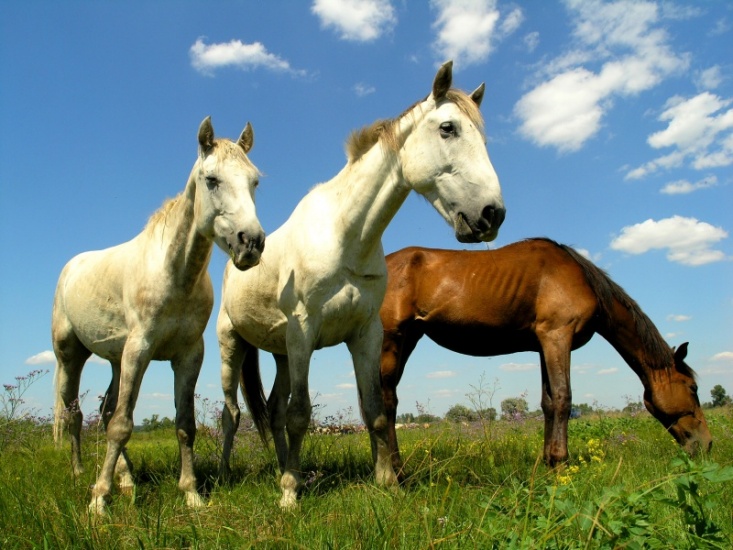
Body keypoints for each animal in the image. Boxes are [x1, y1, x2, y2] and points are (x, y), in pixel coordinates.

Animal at [53, 117, 266, 516]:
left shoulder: (188, 356)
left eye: (255, 181)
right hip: (70, 355)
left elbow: (184, 425)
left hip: (116, 360)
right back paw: (80, 475)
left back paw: (126, 480)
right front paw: (98, 501)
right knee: (74, 414)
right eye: (211, 179)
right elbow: (122, 425)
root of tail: (71, 267)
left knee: (105, 410)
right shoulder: (140, 349)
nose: (252, 243)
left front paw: (191, 493)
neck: (174, 274)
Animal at [214, 61, 506, 508]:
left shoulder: (365, 334)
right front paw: (290, 497)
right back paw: (227, 476)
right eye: (448, 128)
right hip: (234, 345)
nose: (492, 214)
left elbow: (375, 410)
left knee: (274, 410)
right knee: (231, 415)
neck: (344, 236)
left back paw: (283, 469)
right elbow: (301, 414)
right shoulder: (305, 332)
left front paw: (386, 482)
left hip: (282, 354)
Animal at [380, 239, 712, 472]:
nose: (707, 444)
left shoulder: (543, 344)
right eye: (693, 388)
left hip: (409, 338)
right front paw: (561, 460)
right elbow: (564, 398)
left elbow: (549, 403)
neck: (581, 279)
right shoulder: (557, 336)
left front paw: (548, 462)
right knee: (386, 401)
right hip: (390, 338)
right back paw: (395, 473)